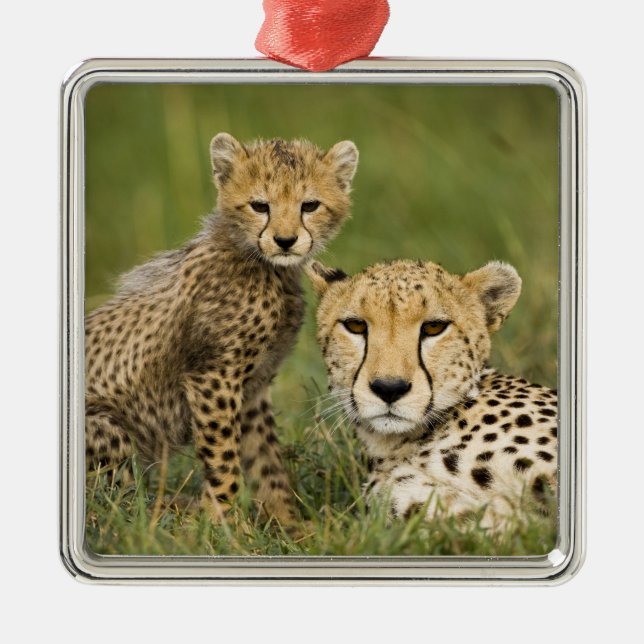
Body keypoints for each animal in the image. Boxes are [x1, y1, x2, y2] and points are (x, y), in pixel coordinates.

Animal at [85, 133, 359, 525]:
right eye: (260, 206)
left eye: (310, 205)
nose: (285, 241)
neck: (263, 266)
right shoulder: (213, 378)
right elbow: (223, 458)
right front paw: (227, 525)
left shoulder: (253, 387)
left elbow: (266, 461)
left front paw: (288, 524)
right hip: (105, 424)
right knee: (115, 504)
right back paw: (174, 512)